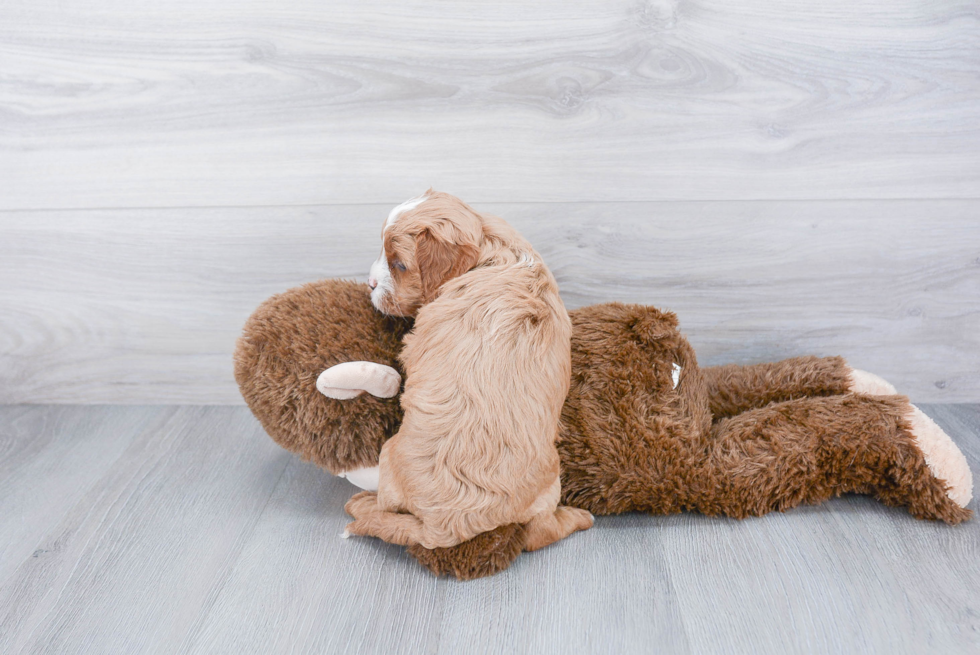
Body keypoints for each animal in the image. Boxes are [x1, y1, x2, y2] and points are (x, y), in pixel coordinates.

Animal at [340, 191, 592, 552]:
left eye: (399, 264)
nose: (371, 284)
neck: (490, 248)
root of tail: (448, 526)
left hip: (390, 454)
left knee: (388, 507)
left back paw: (362, 503)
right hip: (549, 483)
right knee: (539, 532)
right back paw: (580, 517)